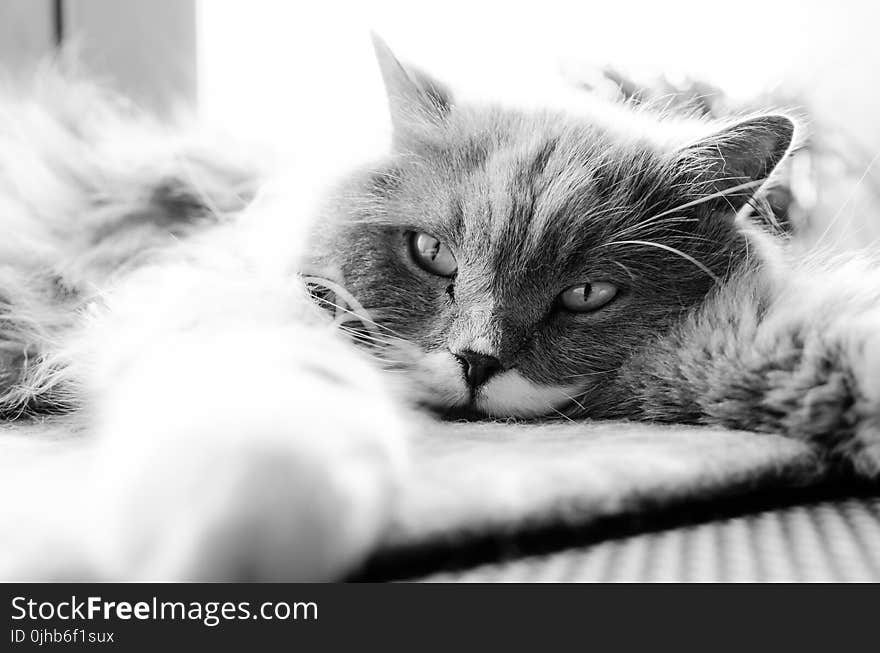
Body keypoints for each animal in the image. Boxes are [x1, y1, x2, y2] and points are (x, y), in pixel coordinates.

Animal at [0, 38, 876, 580]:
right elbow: (276, 424)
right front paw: (232, 544)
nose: (477, 362)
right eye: (433, 254)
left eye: (587, 294)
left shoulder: (723, 338)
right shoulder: (215, 286)